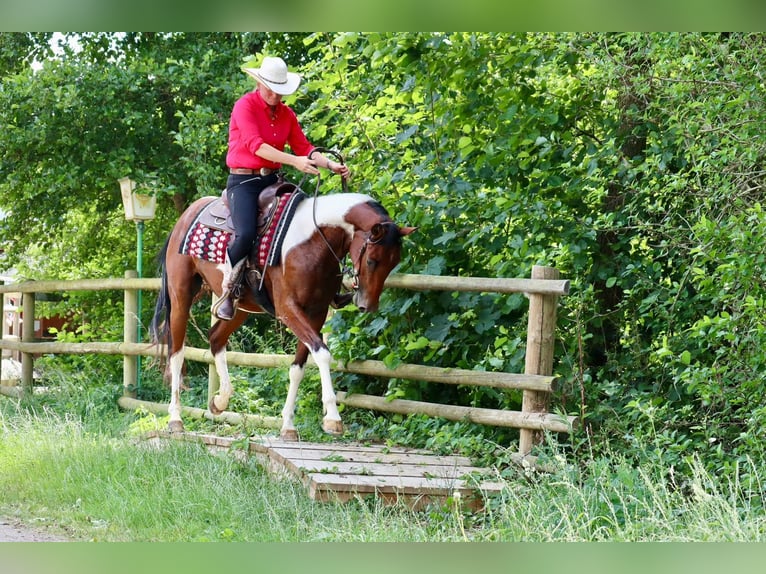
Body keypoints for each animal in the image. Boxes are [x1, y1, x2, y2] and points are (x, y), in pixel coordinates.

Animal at [150, 181, 415, 440]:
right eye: (372, 260)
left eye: (394, 262)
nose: (367, 305)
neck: (313, 240)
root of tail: (186, 216)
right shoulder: (288, 310)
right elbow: (322, 353)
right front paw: (332, 418)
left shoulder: (316, 313)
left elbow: (298, 367)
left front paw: (288, 425)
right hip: (181, 297)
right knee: (176, 353)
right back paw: (176, 419)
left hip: (242, 307)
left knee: (215, 337)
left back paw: (220, 400)